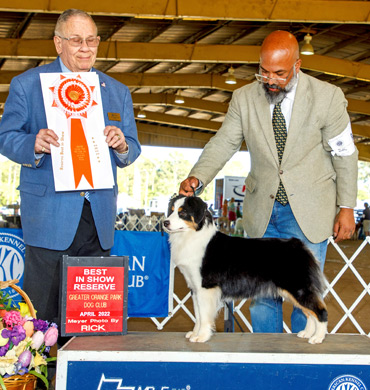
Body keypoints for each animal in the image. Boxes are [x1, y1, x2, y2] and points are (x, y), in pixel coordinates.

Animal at [163, 195, 328, 344]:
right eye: (171, 210)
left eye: (183, 212)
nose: (165, 222)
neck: (193, 236)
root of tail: (300, 246)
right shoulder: (195, 287)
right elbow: (198, 314)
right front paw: (194, 333)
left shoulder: (206, 287)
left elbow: (204, 315)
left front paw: (201, 337)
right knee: (309, 312)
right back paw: (307, 333)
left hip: (298, 287)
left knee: (320, 311)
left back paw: (317, 338)